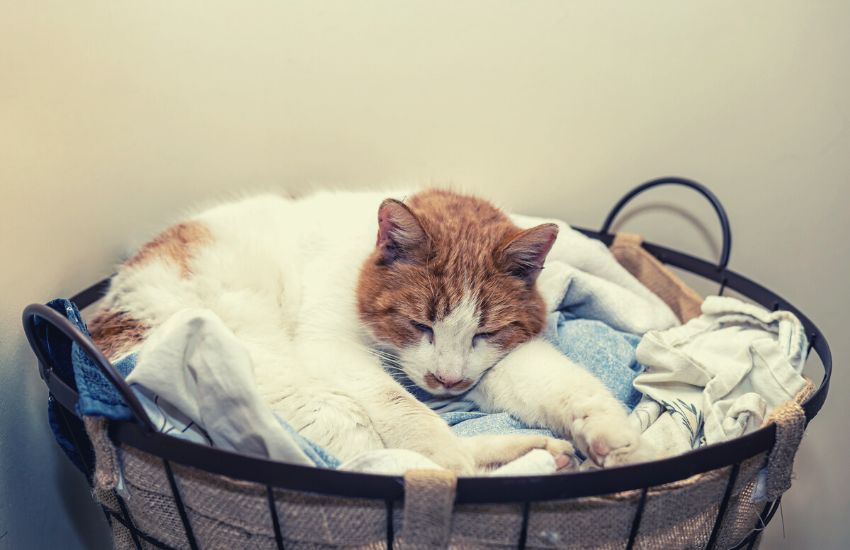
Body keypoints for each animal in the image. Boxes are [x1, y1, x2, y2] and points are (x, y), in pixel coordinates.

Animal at [91, 190, 648, 474]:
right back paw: (530, 458)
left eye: (484, 332)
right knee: (406, 463)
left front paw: (617, 440)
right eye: (419, 323)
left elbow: (566, 387)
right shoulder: (330, 347)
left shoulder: (496, 360)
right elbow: (408, 413)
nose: (446, 383)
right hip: (292, 390)